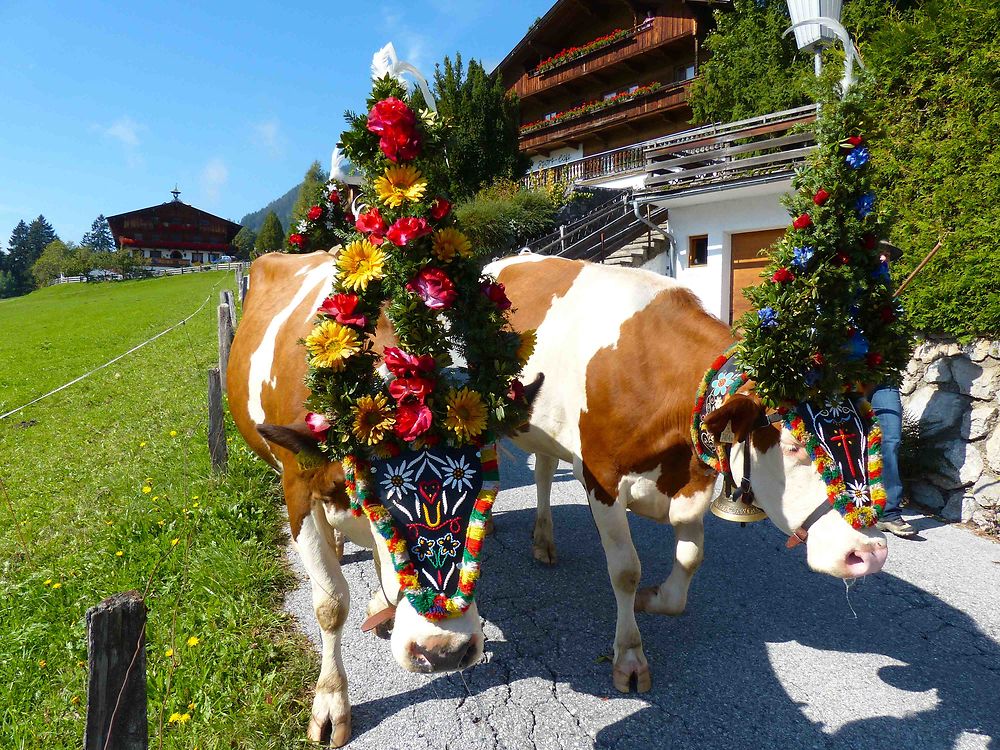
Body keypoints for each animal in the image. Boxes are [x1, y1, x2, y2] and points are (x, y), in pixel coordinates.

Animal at [231, 253, 488, 748]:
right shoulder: (297, 491)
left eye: (483, 491)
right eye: (379, 498)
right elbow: (330, 604)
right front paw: (331, 699)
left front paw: (381, 604)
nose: (443, 653)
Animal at [488, 256, 888, 696]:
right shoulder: (602, 479)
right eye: (793, 445)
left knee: (543, 470)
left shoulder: (693, 482)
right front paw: (630, 656)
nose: (869, 553)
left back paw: (543, 540)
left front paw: (653, 598)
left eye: (870, 435)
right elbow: (625, 570)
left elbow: (690, 559)